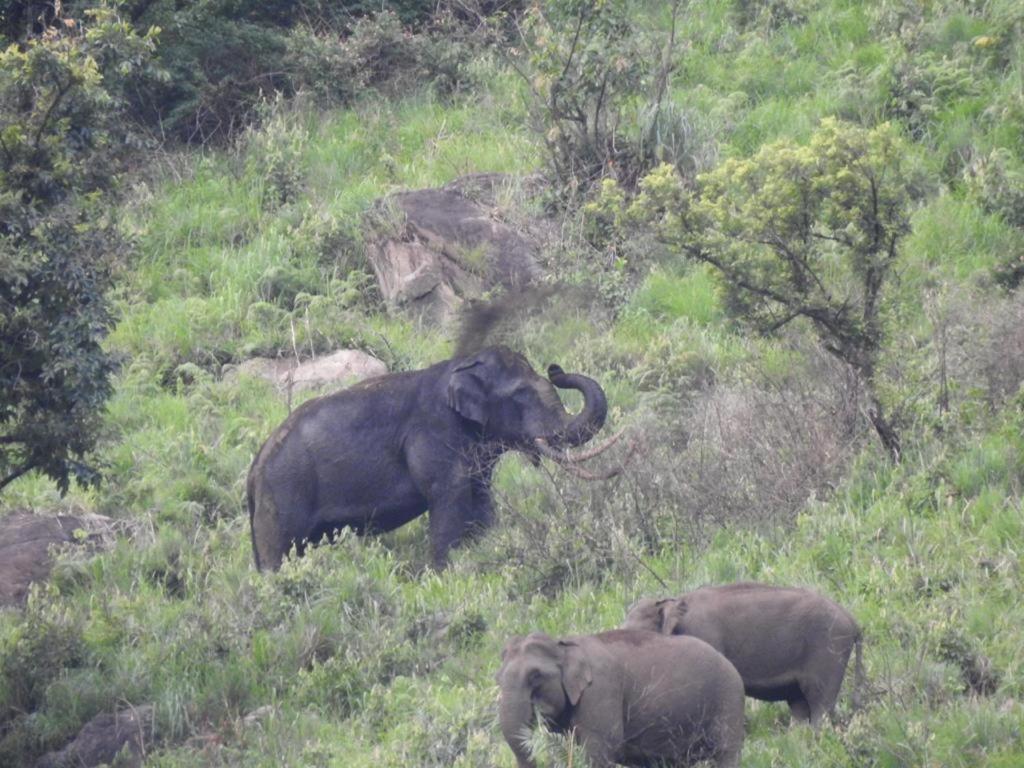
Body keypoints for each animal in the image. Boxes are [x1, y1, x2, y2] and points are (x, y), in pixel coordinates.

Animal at [247, 348, 614, 573]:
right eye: (521, 395)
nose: (556, 369)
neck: (459, 366)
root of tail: (252, 473)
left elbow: (481, 496)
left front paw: (484, 548)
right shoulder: (433, 434)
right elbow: (448, 497)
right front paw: (442, 572)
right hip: (283, 497)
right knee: (278, 555)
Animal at [495, 630, 745, 768]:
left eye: (535, 676)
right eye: (497, 679)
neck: (564, 644)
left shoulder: (602, 690)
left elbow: (602, 748)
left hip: (728, 698)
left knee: (726, 752)